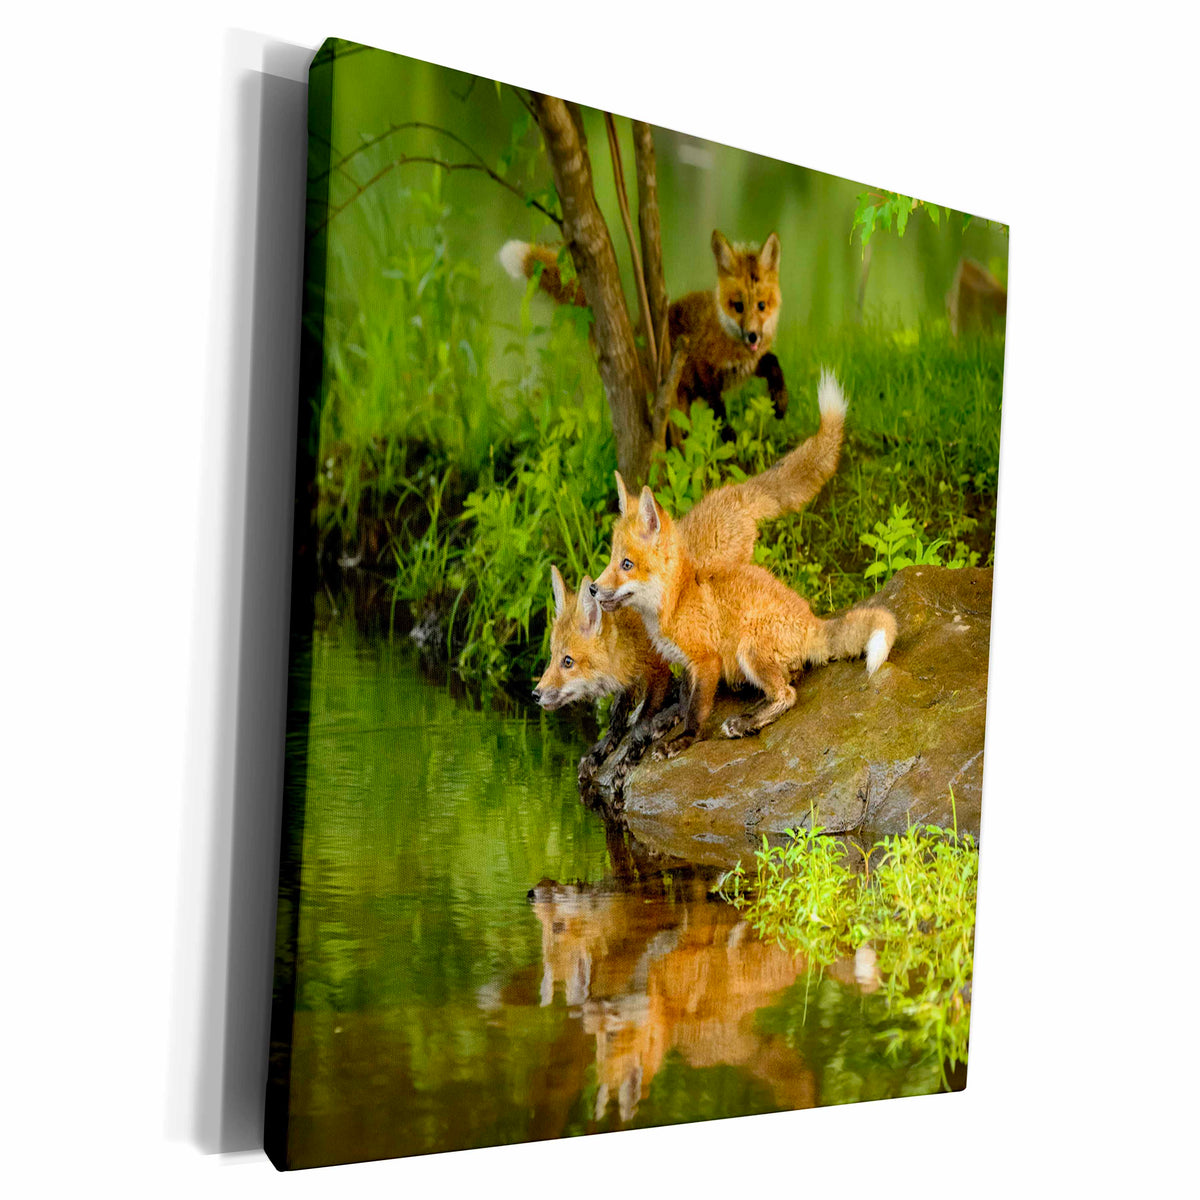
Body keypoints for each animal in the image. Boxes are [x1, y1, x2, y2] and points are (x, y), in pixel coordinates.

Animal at [499, 229, 789, 427]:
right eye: (737, 306)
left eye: (762, 305)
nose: (752, 335)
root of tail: (637, 330)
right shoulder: (704, 370)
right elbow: (719, 411)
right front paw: (729, 439)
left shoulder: (749, 365)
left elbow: (773, 363)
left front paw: (780, 403)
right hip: (676, 400)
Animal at [533, 372, 849, 782]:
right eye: (552, 657)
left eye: (567, 662)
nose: (536, 693)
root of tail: (733, 492)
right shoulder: (636, 680)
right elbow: (617, 720)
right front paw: (602, 751)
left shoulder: (657, 670)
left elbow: (644, 720)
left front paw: (633, 755)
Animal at [590, 420, 897, 760]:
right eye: (612, 560)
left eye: (627, 564)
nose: (592, 588)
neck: (675, 603)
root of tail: (812, 621)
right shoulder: (688, 665)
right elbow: (684, 699)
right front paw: (663, 725)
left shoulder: (706, 660)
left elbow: (695, 710)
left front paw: (682, 740)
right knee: (788, 681)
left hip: (748, 647)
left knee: (787, 694)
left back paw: (744, 723)